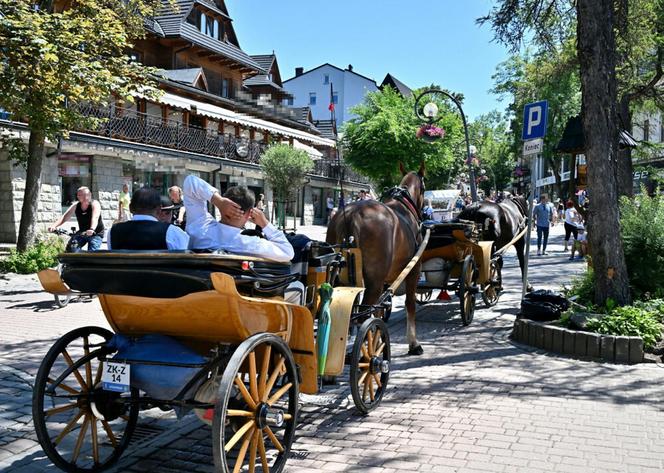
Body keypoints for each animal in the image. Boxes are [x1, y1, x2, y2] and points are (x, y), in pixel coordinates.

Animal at [326, 162, 426, 354]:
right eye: (424, 187)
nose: (424, 212)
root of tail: (352, 214)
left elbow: (380, 309)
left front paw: (379, 339)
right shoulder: (413, 270)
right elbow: (410, 303)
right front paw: (413, 343)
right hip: (373, 281)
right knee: (362, 315)